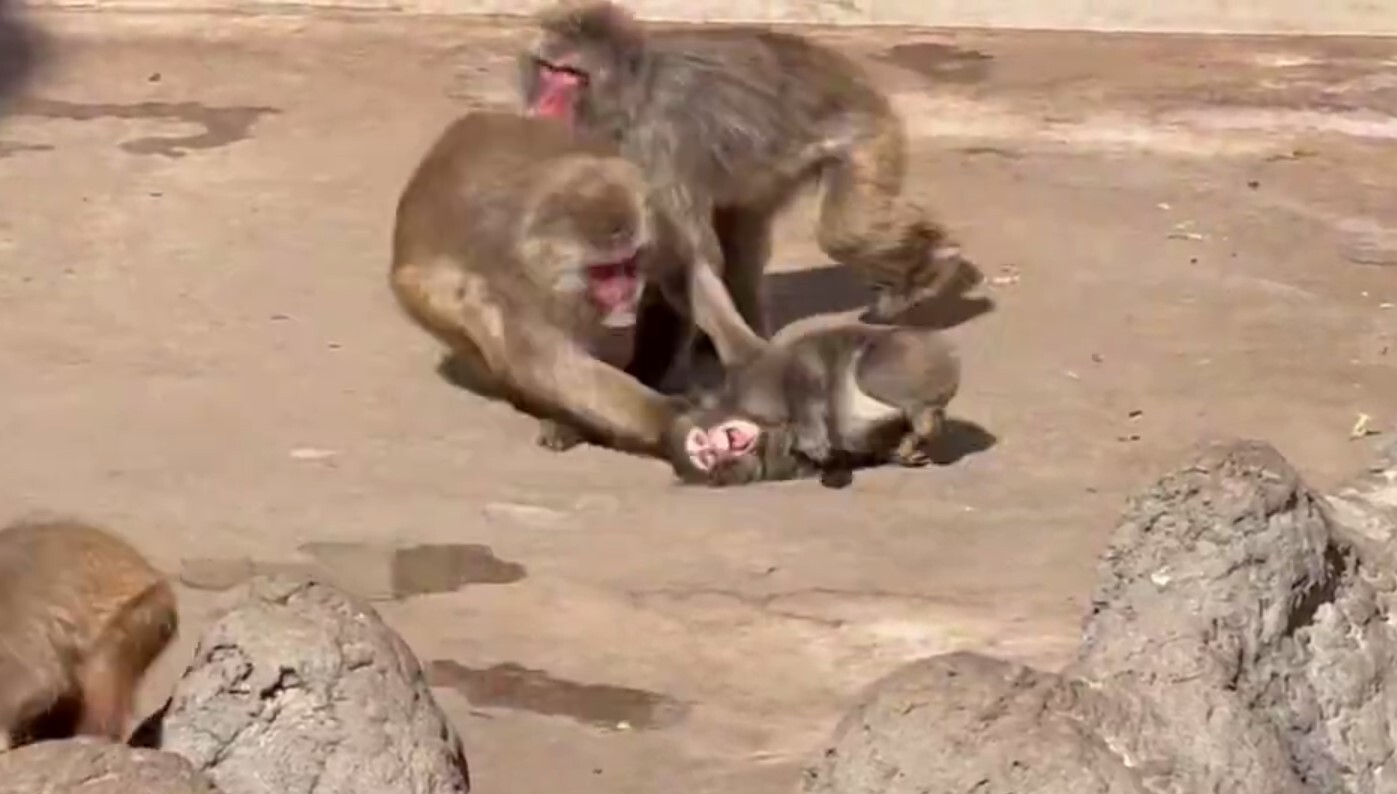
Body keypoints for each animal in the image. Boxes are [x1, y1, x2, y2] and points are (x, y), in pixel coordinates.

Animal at [391, 109, 764, 456]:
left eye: (628, 264)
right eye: (604, 271)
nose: (625, 291)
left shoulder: (654, 224)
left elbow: (682, 272)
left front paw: (751, 355)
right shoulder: (516, 284)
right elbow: (548, 361)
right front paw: (670, 414)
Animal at [519, 0, 984, 372]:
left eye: (570, 75)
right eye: (548, 70)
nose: (543, 105)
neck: (628, 100)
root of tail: (852, 74)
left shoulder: (658, 144)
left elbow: (687, 259)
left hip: (867, 135)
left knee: (846, 230)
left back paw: (933, 260)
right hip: (770, 174)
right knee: (744, 239)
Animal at [665, 320, 961, 488]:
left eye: (702, 445)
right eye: (710, 465)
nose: (713, 451)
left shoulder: (769, 375)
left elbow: (804, 374)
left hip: (897, 354)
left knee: (867, 370)